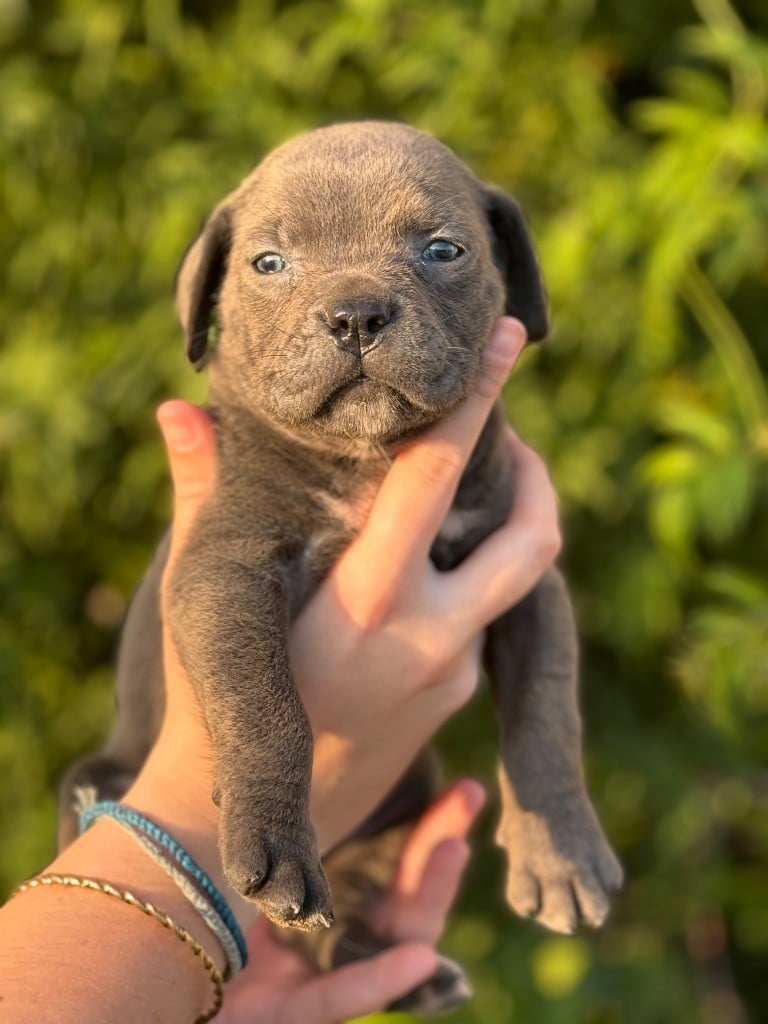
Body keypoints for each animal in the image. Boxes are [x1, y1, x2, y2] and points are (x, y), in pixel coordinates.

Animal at [60, 121, 626, 1015]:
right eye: (268, 263)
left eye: (442, 249)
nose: (356, 314)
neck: (366, 462)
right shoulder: (225, 568)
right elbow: (265, 704)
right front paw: (274, 839)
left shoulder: (526, 575)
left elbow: (546, 711)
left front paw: (563, 855)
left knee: (334, 929)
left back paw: (409, 973)